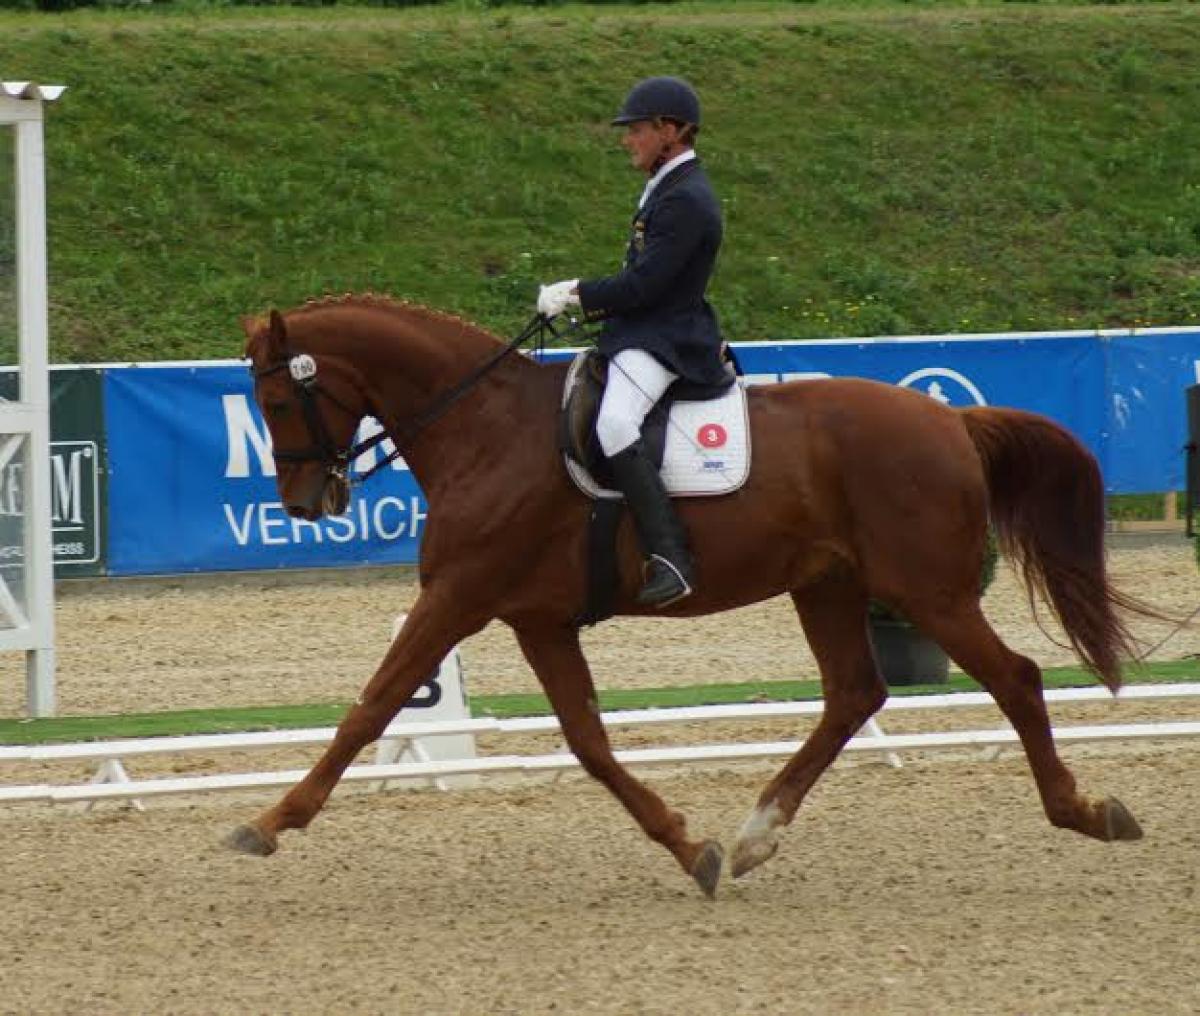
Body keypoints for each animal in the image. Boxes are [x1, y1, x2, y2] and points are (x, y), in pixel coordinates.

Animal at [231, 296, 1142, 897]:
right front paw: (687, 846)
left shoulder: (459, 596)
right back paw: (754, 838)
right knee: (854, 693)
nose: (306, 504)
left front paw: (270, 823)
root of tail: (952, 420)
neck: (485, 432)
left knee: (1015, 679)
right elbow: (589, 741)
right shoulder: (537, 619)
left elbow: (372, 706)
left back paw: (1086, 811)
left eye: (276, 399)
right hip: (829, 584)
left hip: (927, 592)